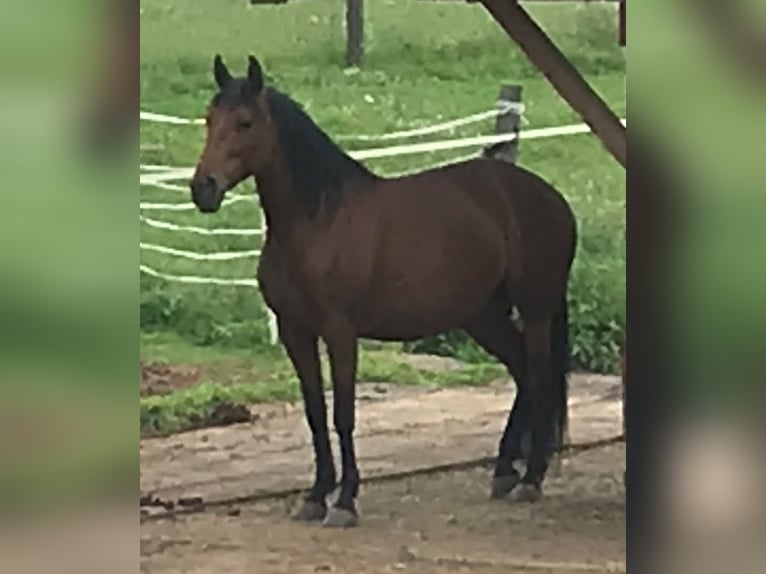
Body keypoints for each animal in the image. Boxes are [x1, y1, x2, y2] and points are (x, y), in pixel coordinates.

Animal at [190, 56, 576, 528]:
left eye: (245, 122)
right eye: (210, 119)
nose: (203, 188)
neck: (318, 221)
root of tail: (551, 197)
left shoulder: (340, 332)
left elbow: (344, 415)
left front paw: (345, 501)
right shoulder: (295, 331)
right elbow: (315, 413)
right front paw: (316, 495)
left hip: (536, 310)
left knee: (539, 378)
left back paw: (531, 478)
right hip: (483, 316)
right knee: (522, 373)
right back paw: (504, 471)